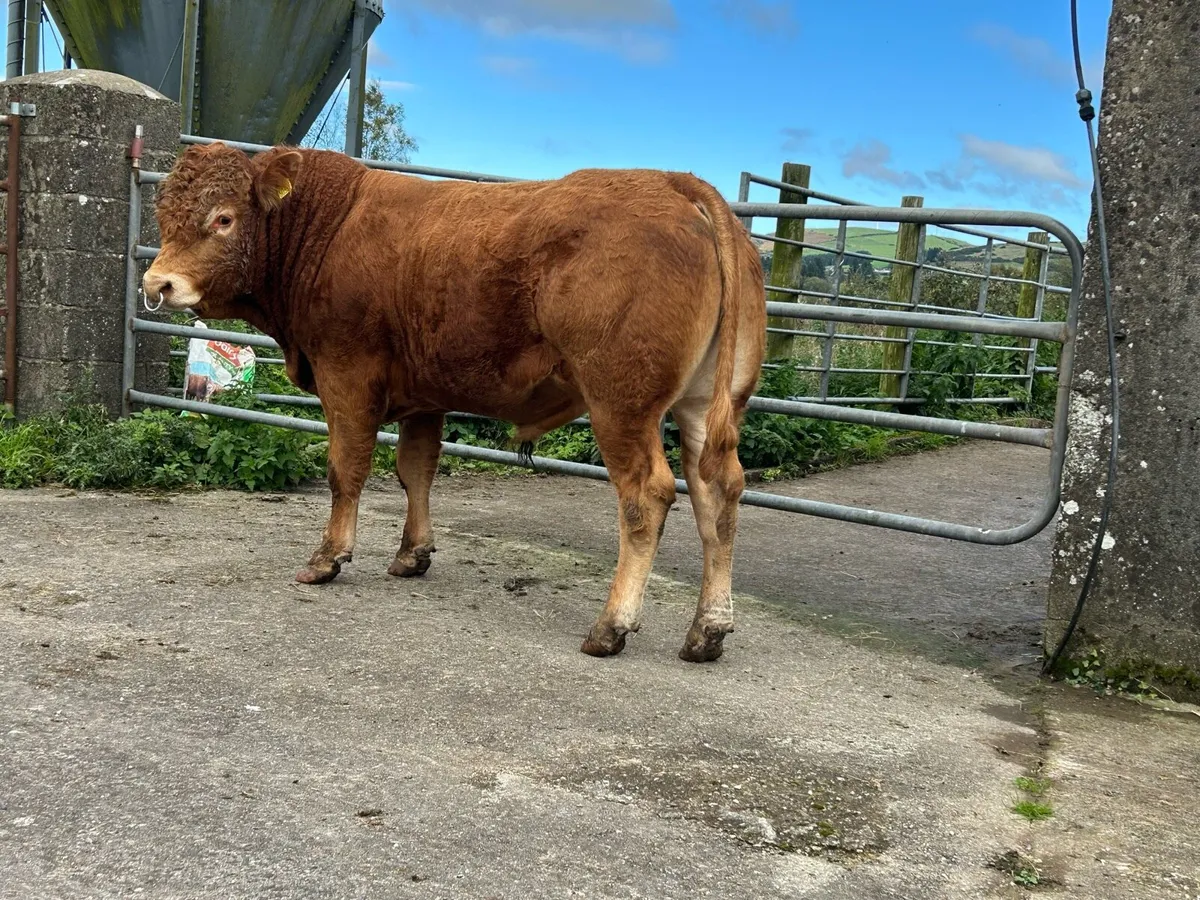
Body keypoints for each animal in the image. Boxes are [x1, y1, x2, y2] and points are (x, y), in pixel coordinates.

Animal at [142, 142, 766, 662]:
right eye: (163, 217)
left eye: (223, 218)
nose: (157, 284)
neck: (326, 228)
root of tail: (674, 182)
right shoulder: (422, 395)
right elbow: (415, 469)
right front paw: (412, 554)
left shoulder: (346, 375)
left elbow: (346, 470)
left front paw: (328, 558)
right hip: (707, 402)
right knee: (718, 491)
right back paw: (707, 631)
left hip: (621, 404)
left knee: (647, 495)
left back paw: (610, 626)